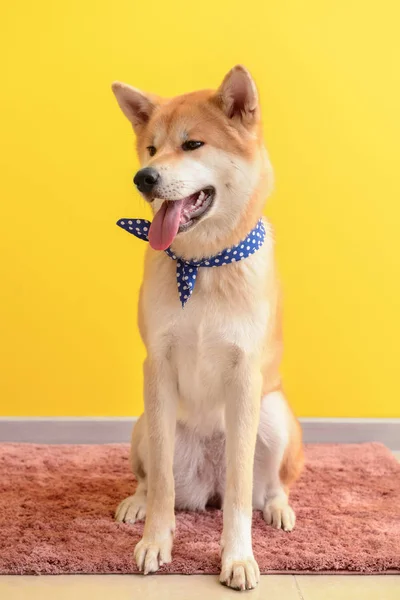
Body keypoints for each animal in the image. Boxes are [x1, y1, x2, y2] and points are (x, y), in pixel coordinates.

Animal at [111, 65, 302, 592]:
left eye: (192, 144)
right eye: (151, 148)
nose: (144, 178)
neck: (202, 265)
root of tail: (206, 485)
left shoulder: (245, 376)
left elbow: (239, 494)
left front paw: (236, 558)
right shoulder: (156, 365)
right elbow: (161, 485)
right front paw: (156, 541)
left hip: (275, 414)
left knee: (267, 486)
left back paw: (278, 509)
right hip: (143, 423)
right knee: (152, 478)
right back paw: (136, 503)